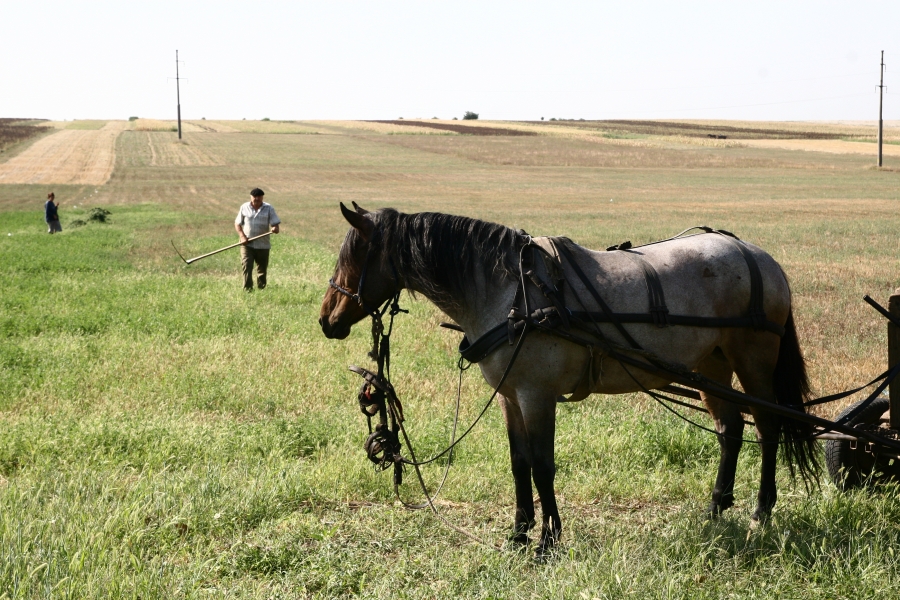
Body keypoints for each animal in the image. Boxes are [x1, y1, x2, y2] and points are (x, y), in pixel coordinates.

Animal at [320, 204, 820, 556]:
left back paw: (761, 510)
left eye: (355, 254)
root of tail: (759, 256)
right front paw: (519, 532)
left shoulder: (536, 395)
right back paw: (716, 507)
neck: (511, 291)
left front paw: (548, 539)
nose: (326, 319)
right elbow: (519, 463)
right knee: (730, 428)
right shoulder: (511, 397)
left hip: (753, 360)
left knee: (768, 426)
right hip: (711, 364)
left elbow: (543, 465)